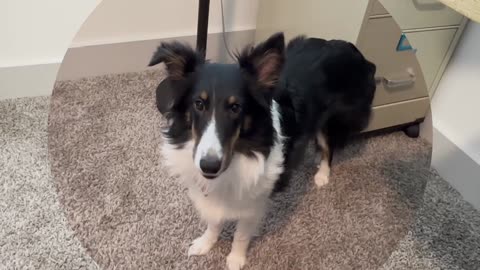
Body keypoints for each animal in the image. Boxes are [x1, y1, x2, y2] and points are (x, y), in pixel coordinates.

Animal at [148, 32, 376, 268]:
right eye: (199, 104)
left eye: (235, 107)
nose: (209, 166)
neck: (241, 152)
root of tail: (351, 48)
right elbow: (214, 221)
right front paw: (205, 244)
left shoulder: (254, 204)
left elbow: (241, 235)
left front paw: (235, 260)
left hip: (330, 122)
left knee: (328, 148)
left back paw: (322, 174)